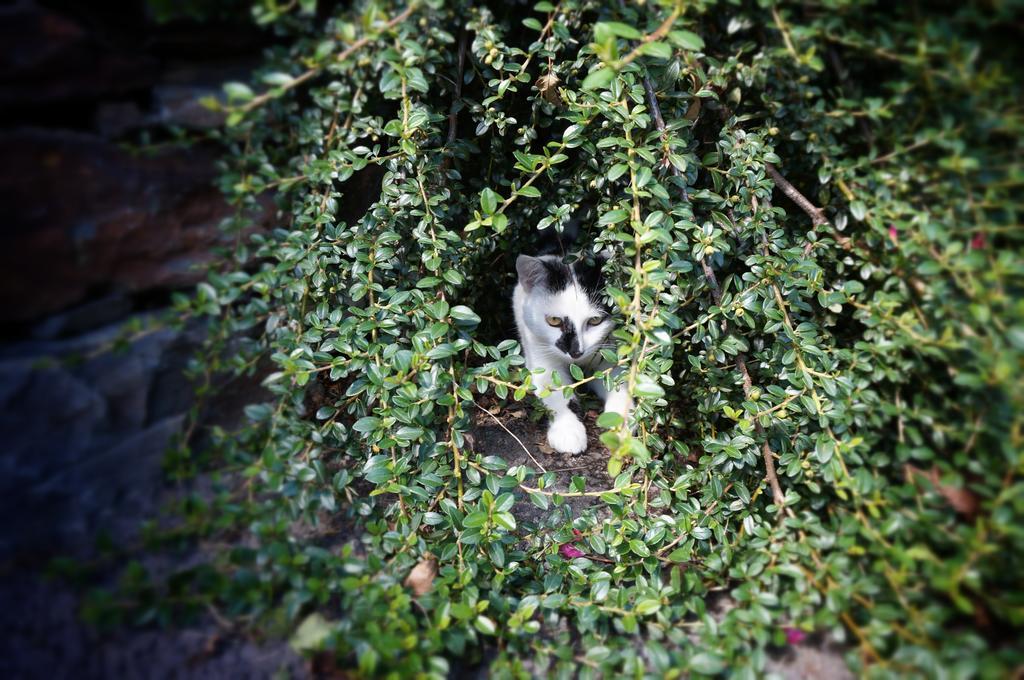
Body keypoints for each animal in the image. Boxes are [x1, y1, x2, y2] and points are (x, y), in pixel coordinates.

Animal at [516, 251, 626, 454]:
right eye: (554, 320)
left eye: (595, 320)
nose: (576, 352)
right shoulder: (541, 357)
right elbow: (557, 393)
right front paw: (567, 430)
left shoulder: (610, 358)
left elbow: (619, 384)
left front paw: (619, 428)